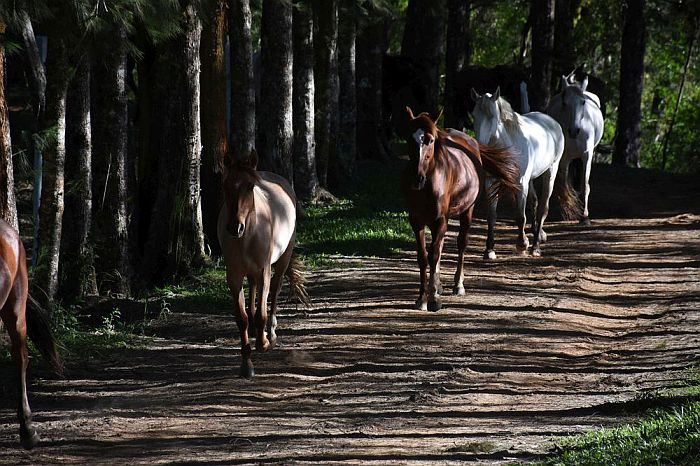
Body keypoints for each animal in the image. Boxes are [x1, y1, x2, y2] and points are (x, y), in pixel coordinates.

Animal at [217, 149, 308, 378]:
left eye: (250, 186)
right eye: (225, 185)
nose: (235, 227)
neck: (248, 236)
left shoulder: (264, 270)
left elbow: (262, 313)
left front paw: (264, 343)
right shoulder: (234, 276)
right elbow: (242, 317)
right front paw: (246, 364)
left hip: (282, 260)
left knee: (274, 291)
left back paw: (271, 334)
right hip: (251, 273)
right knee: (254, 294)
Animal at [402, 105, 524, 310]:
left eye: (430, 140)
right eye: (408, 138)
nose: (417, 179)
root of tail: (472, 142)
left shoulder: (439, 219)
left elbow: (433, 254)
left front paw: (433, 299)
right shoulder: (416, 221)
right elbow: (424, 257)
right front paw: (422, 298)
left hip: (467, 211)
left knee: (460, 243)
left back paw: (458, 285)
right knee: (441, 246)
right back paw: (439, 286)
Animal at [470, 87, 576, 258]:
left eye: (492, 115)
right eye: (474, 114)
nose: (479, 146)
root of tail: (552, 123)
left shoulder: (521, 183)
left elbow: (520, 216)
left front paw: (522, 245)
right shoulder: (491, 181)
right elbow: (491, 215)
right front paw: (489, 250)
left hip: (550, 173)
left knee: (542, 209)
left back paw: (535, 247)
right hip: (530, 180)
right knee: (534, 203)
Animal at [548, 75, 608, 225]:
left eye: (583, 102)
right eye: (564, 103)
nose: (574, 131)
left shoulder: (586, 156)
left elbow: (585, 185)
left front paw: (584, 217)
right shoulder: (564, 158)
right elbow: (563, 185)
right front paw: (568, 210)